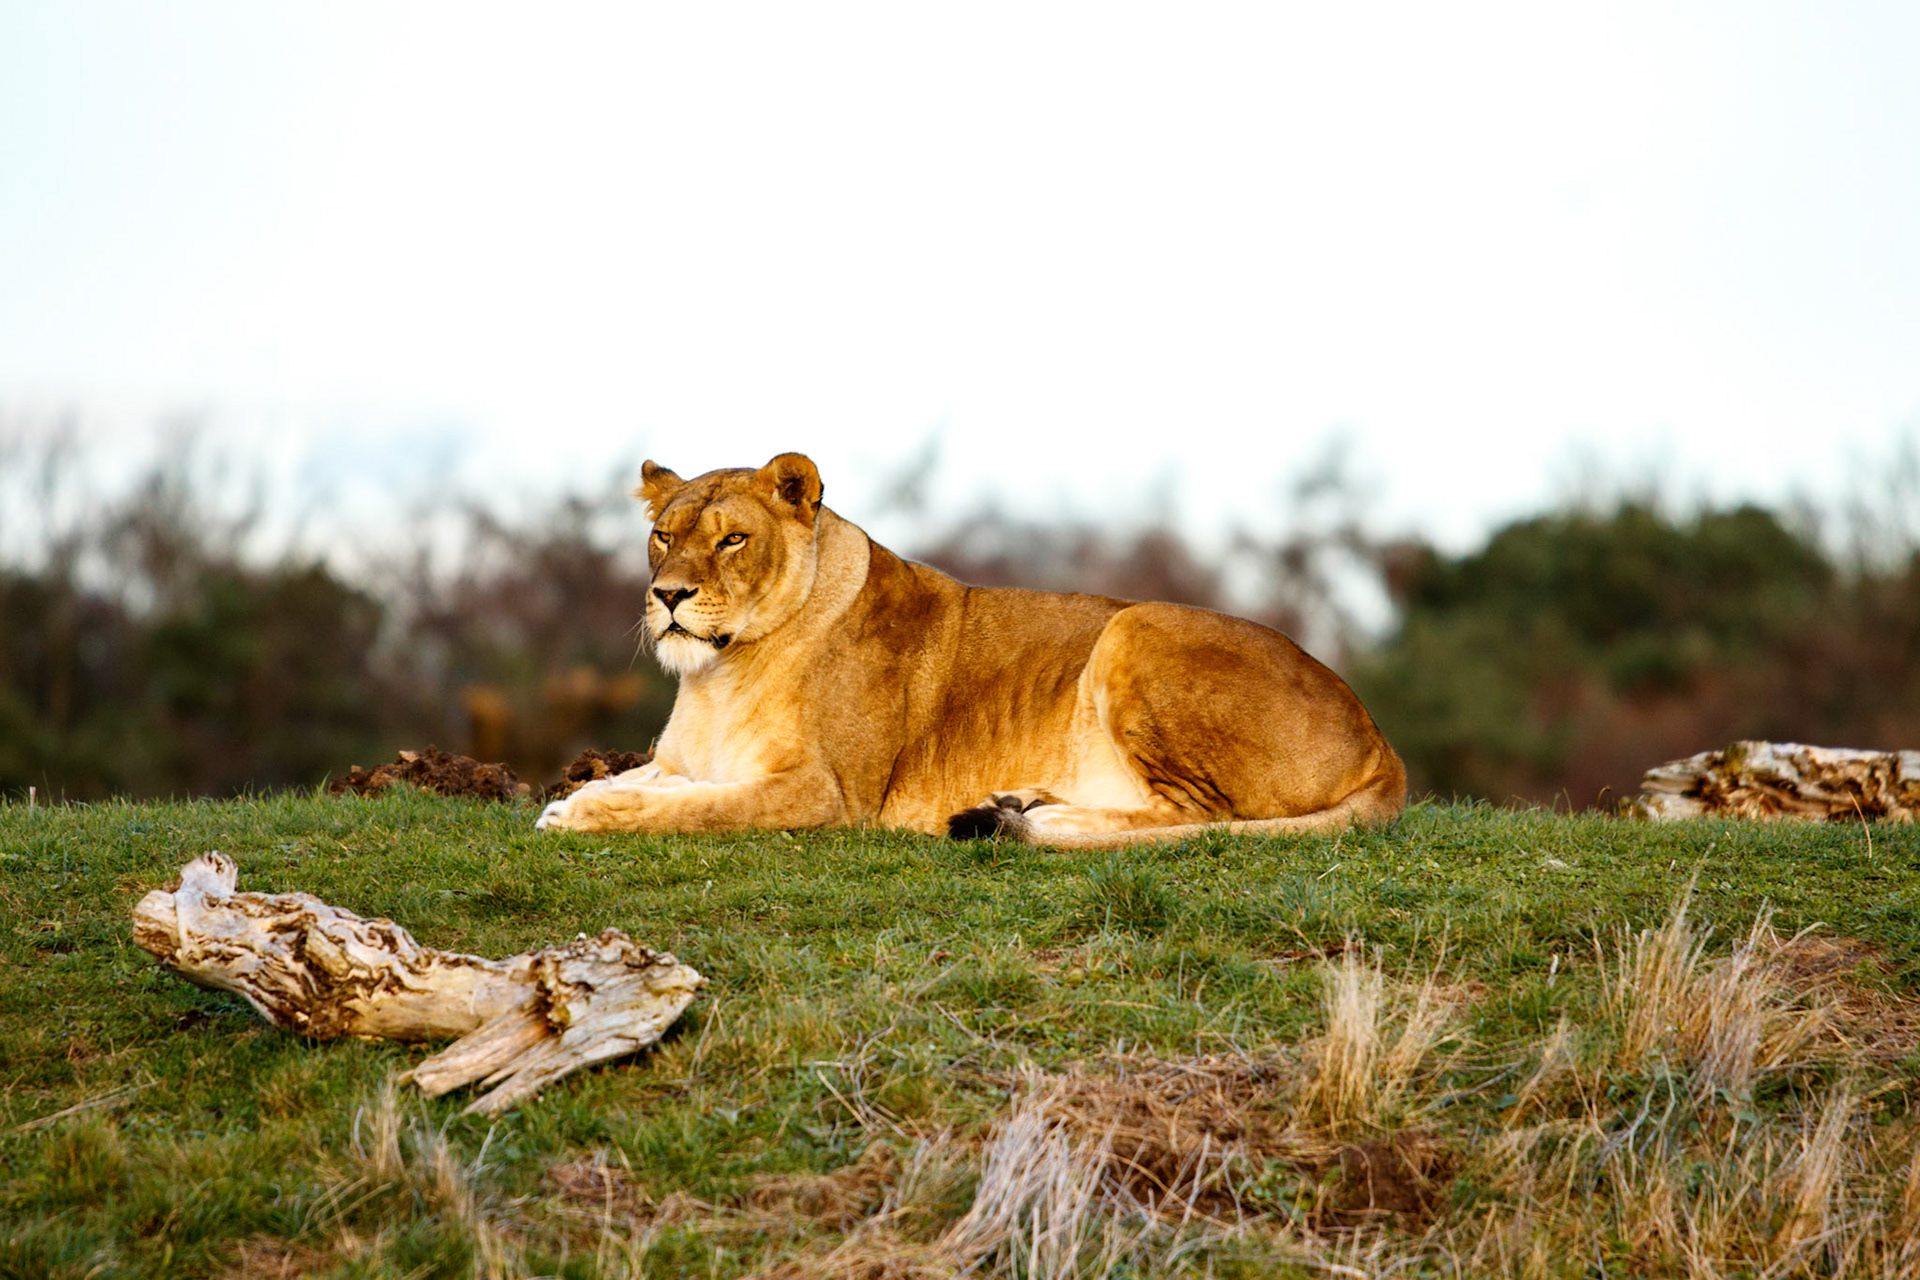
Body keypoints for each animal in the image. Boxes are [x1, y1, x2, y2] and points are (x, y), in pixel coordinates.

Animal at [536, 452, 1407, 846]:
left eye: (731, 540)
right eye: (663, 536)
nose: (668, 596)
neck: (718, 672)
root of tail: (1381, 743)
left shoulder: (830, 796)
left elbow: (698, 808)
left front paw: (582, 811)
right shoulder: (689, 761)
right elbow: (664, 783)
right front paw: (581, 791)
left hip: (1136, 627)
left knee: (1196, 819)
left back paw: (1040, 818)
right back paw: (1018, 803)